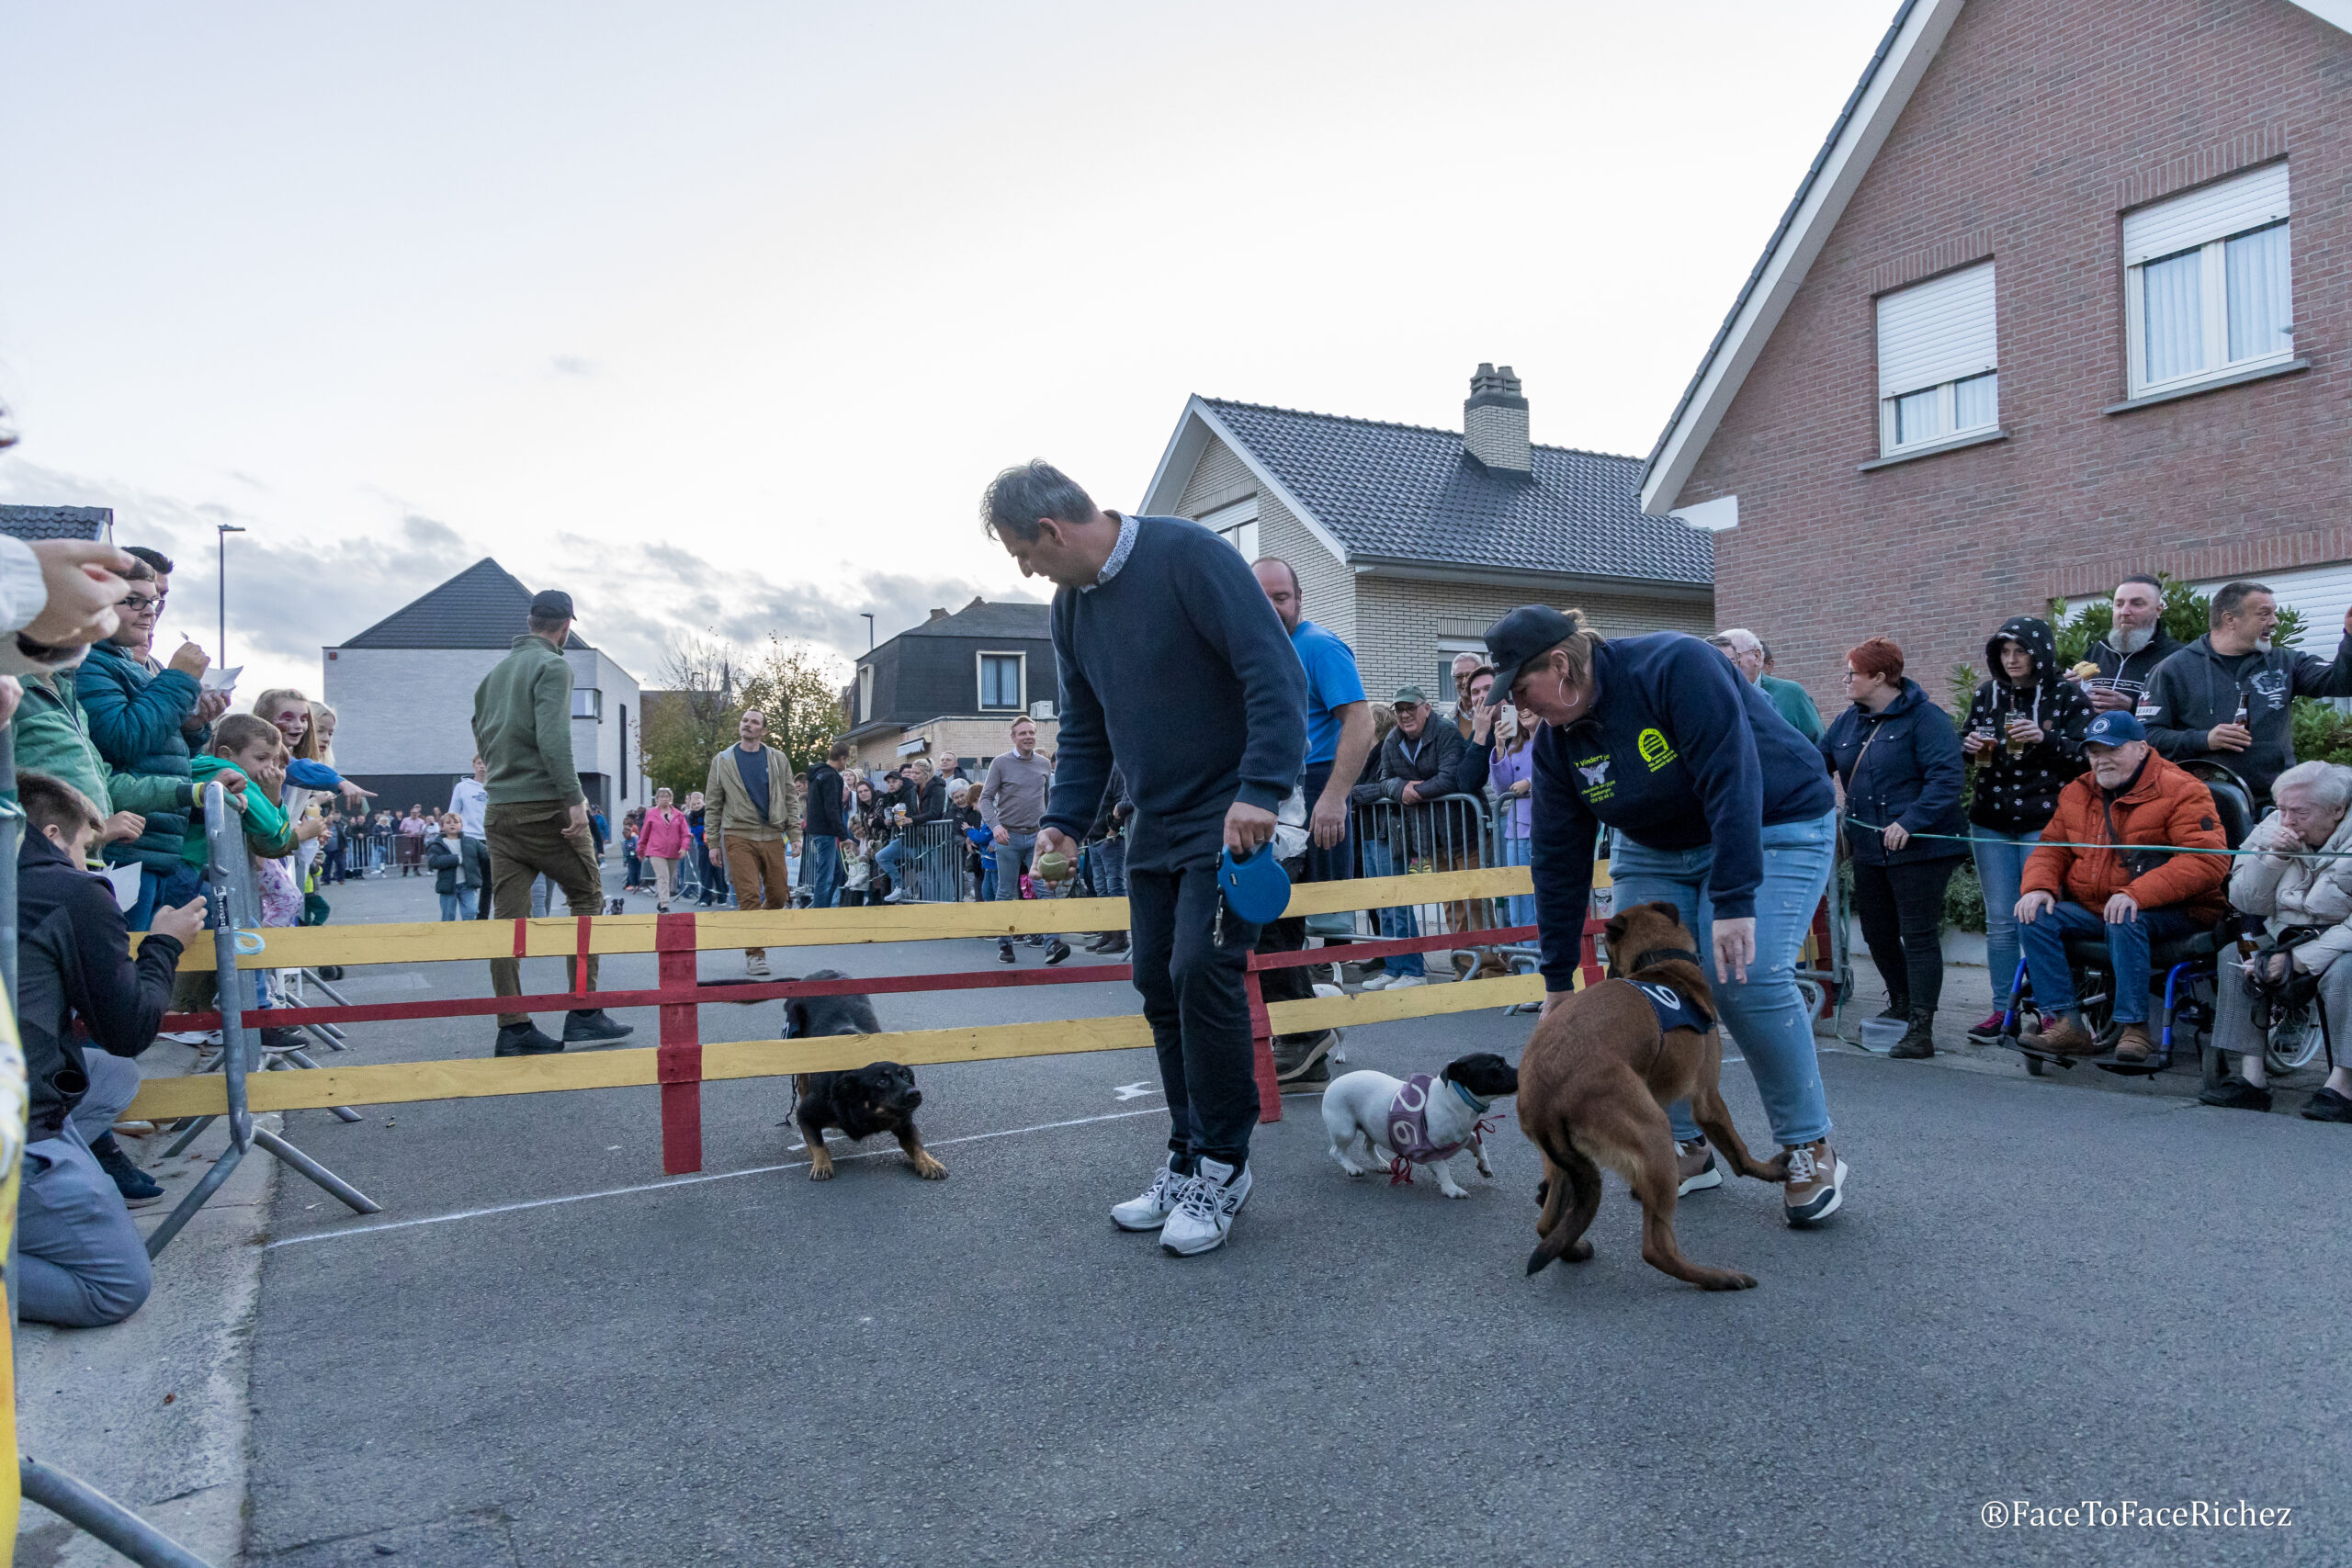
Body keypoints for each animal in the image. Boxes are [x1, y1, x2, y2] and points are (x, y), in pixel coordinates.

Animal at [1326, 1053, 1523, 1203]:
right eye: (1497, 1065)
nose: (1524, 1073)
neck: (1455, 1098)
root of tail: (1333, 1083)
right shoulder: (1428, 1149)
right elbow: (1443, 1167)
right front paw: (1451, 1188)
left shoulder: (1465, 1136)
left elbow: (1479, 1145)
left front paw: (1484, 1166)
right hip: (1345, 1130)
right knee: (1336, 1151)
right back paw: (1352, 1168)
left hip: (1374, 1127)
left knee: (1367, 1146)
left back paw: (1381, 1164)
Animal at [1523, 902, 1778, 1297]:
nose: (1609, 972)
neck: (1663, 963)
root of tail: (1545, 1089)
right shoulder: (1708, 1100)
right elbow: (1740, 1152)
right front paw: (1772, 1170)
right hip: (1654, 1133)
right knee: (1656, 1249)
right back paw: (1716, 1278)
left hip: (1564, 1163)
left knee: (1548, 1223)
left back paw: (1574, 1248)